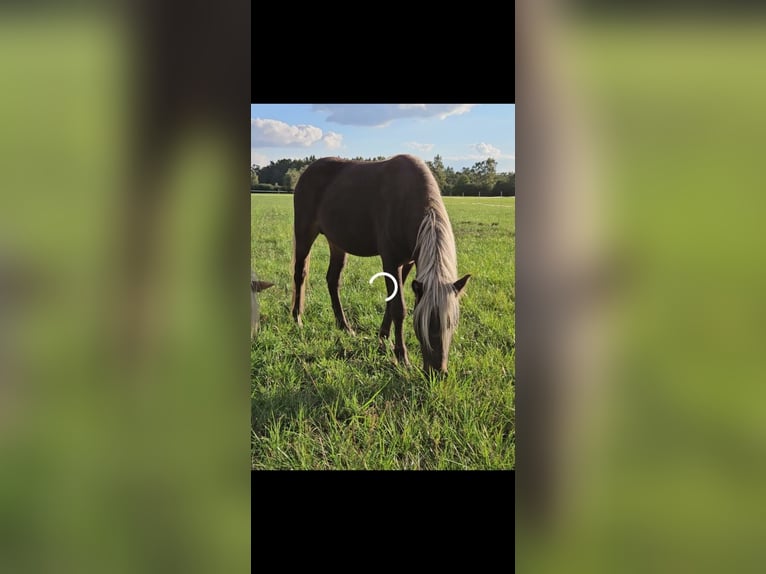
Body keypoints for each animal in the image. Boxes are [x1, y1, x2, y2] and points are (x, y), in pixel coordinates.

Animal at [290, 154, 470, 374]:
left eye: (451, 322)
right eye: (423, 322)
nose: (437, 372)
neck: (407, 201)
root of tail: (308, 171)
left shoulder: (408, 262)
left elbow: (391, 302)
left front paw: (383, 337)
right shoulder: (390, 261)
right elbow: (399, 308)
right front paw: (401, 356)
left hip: (337, 243)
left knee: (333, 280)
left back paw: (344, 326)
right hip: (304, 233)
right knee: (300, 273)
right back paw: (297, 318)